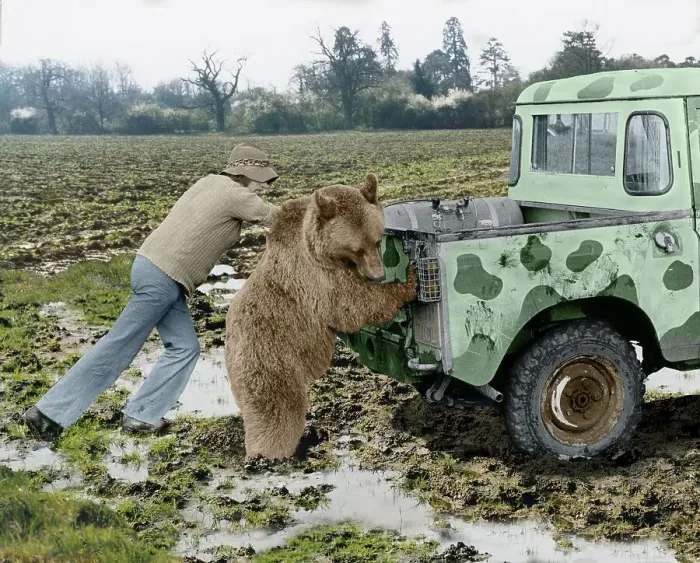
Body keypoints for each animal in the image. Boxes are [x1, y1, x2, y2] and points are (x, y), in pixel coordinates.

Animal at [224, 173, 417, 461]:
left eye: (376, 240)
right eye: (356, 248)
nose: (377, 275)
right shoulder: (317, 280)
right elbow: (354, 304)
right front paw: (410, 280)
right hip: (270, 359)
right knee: (277, 410)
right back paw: (268, 454)